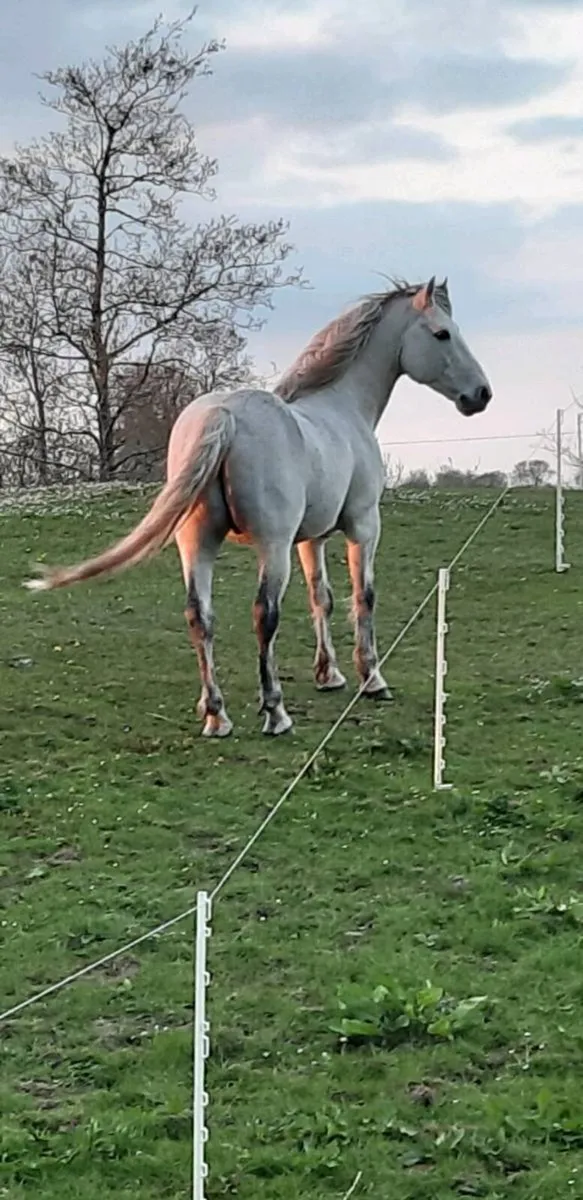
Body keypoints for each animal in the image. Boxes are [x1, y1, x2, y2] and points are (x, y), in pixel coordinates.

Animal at [24, 276, 492, 738]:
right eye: (442, 333)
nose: (481, 395)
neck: (342, 407)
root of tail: (222, 416)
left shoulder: (312, 538)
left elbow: (322, 597)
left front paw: (329, 674)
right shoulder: (362, 526)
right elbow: (364, 596)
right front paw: (371, 679)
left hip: (197, 545)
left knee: (200, 616)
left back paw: (216, 715)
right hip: (272, 547)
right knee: (264, 615)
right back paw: (275, 713)